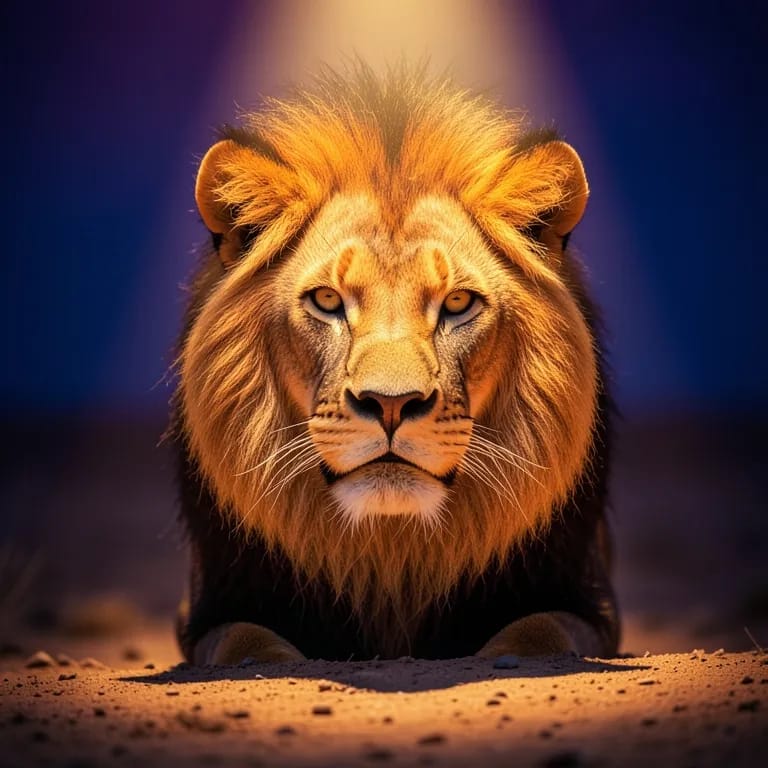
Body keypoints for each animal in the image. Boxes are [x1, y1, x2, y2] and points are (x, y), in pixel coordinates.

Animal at [173, 63, 619, 664]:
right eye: (327, 300)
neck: (391, 554)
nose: (390, 404)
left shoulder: (587, 601)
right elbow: (246, 642)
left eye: (458, 303)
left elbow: (540, 631)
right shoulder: (210, 608)